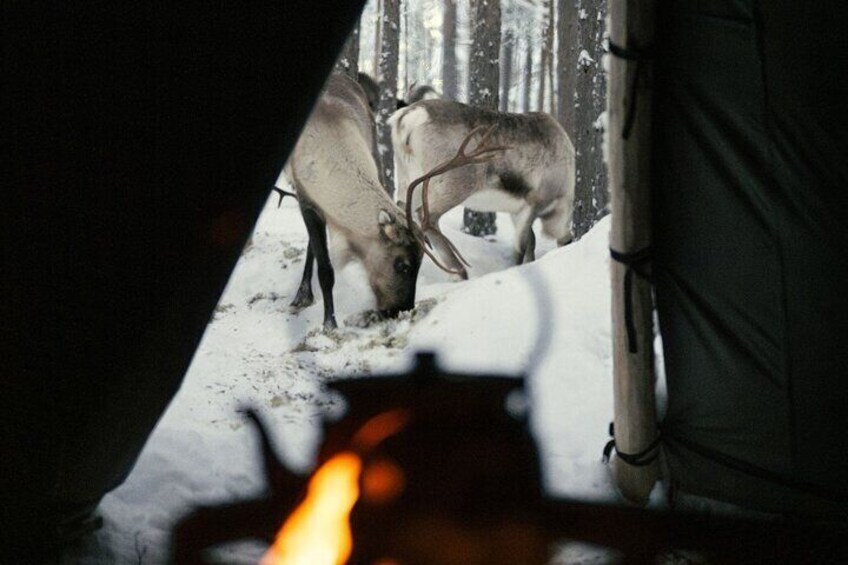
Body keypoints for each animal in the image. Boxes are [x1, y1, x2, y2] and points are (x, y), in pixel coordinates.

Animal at [282, 73, 503, 329]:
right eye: (402, 266)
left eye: (420, 264)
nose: (401, 309)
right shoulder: (306, 198)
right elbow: (325, 270)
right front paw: (330, 323)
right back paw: (302, 295)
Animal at [390, 99, 575, 280]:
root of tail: (409, 116)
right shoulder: (535, 202)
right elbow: (521, 247)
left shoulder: (517, 210)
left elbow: (531, 242)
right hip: (452, 184)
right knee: (425, 215)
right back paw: (459, 272)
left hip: (408, 179)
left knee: (400, 209)